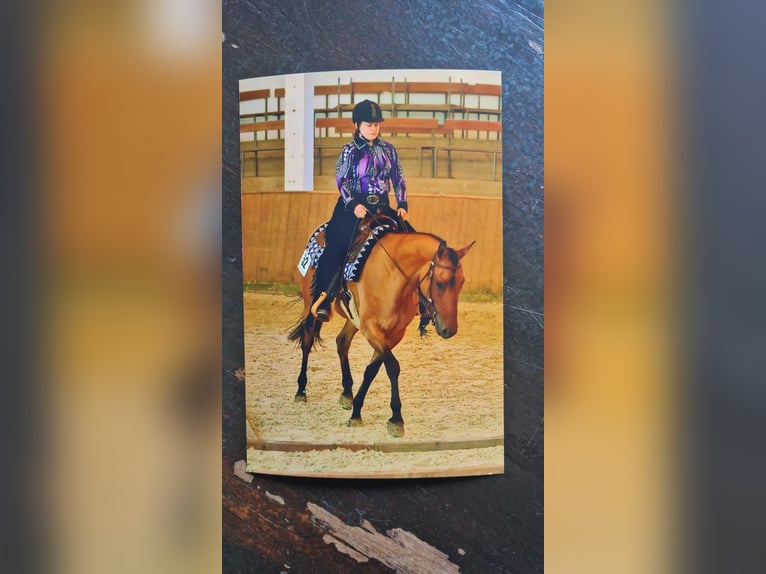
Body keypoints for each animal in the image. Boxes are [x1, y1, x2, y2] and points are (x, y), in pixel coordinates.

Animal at [288, 219, 475, 437]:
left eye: (461, 282)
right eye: (440, 283)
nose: (449, 330)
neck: (392, 276)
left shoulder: (394, 333)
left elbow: (373, 369)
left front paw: (357, 411)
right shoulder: (371, 328)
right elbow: (392, 366)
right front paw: (396, 419)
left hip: (353, 319)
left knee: (342, 342)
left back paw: (347, 393)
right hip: (311, 305)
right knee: (307, 340)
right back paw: (301, 390)